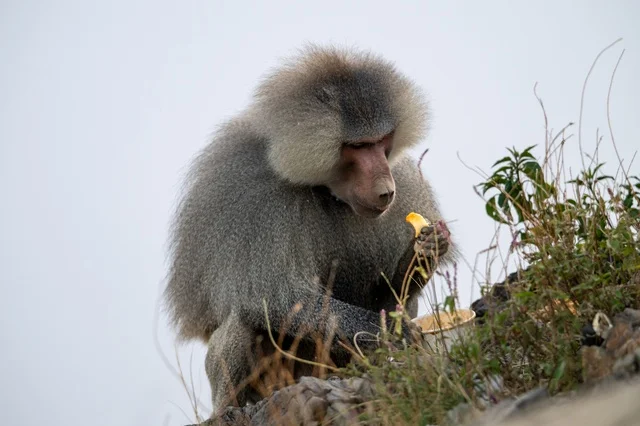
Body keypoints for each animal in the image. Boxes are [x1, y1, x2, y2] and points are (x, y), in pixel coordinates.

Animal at [164, 45, 456, 416]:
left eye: (382, 141)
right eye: (357, 147)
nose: (386, 192)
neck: (324, 190)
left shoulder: (404, 177)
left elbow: (390, 296)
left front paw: (428, 248)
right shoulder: (255, 199)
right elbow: (276, 300)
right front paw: (391, 331)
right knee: (244, 319)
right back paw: (230, 410)